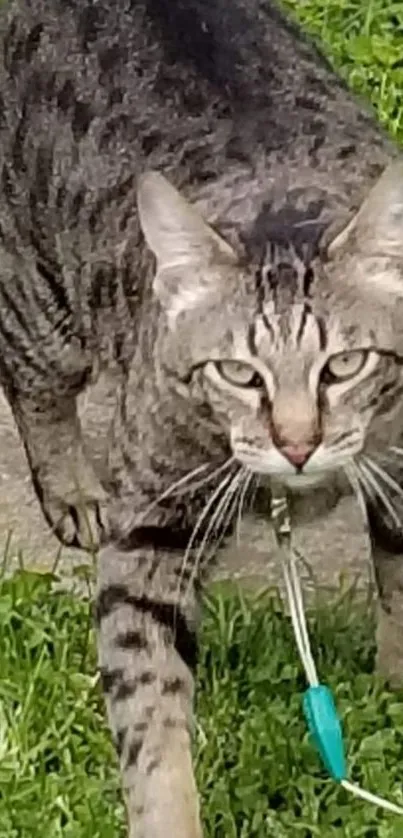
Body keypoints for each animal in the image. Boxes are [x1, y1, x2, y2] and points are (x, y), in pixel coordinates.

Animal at [0, 0, 403, 836]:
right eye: (236, 373)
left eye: (344, 365)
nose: (296, 444)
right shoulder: (149, 536)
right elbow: (150, 715)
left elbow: (400, 595)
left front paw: (393, 686)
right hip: (43, 304)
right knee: (27, 373)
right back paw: (70, 487)